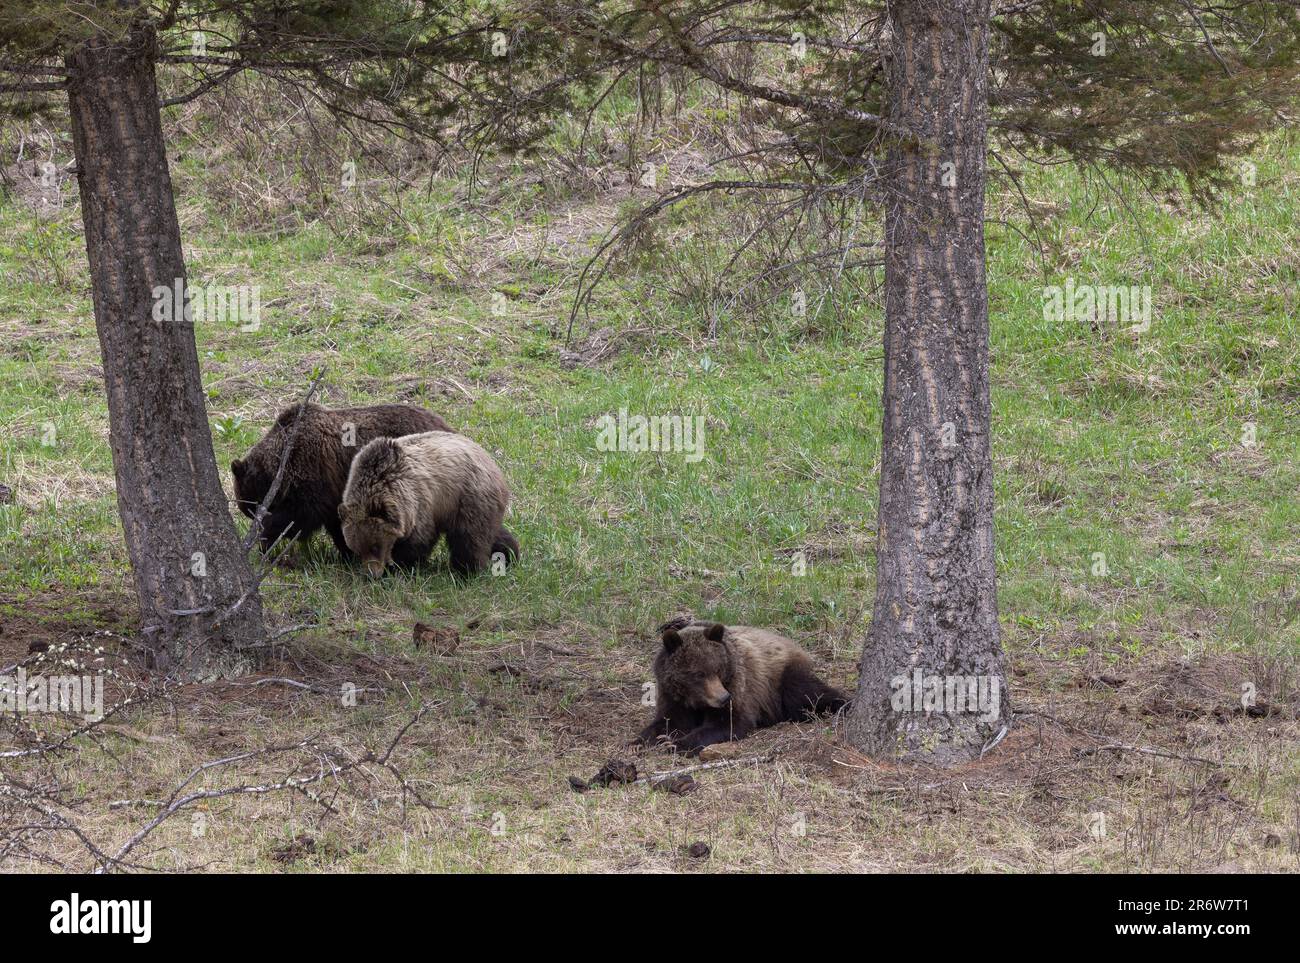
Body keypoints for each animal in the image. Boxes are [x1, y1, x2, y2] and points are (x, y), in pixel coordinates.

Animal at [230, 402, 454, 558]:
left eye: (250, 507)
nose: (252, 516)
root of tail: (448, 427)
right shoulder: (332, 490)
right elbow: (335, 523)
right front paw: (347, 552)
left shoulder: (313, 472)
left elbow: (300, 515)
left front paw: (265, 540)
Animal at [338, 430, 516, 577]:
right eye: (357, 549)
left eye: (375, 546)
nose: (372, 574)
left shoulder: (417, 503)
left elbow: (418, 541)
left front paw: (399, 566)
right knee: (491, 532)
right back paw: (510, 554)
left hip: (469, 496)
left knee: (469, 538)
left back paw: (466, 572)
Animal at [633, 620, 848, 754]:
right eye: (698, 674)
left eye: (718, 669)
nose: (723, 698)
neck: (695, 700)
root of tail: (794, 644)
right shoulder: (671, 694)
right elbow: (668, 722)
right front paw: (637, 742)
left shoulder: (739, 685)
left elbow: (729, 722)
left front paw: (676, 744)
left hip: (781, 678)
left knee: (807, 695)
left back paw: (843, 704)